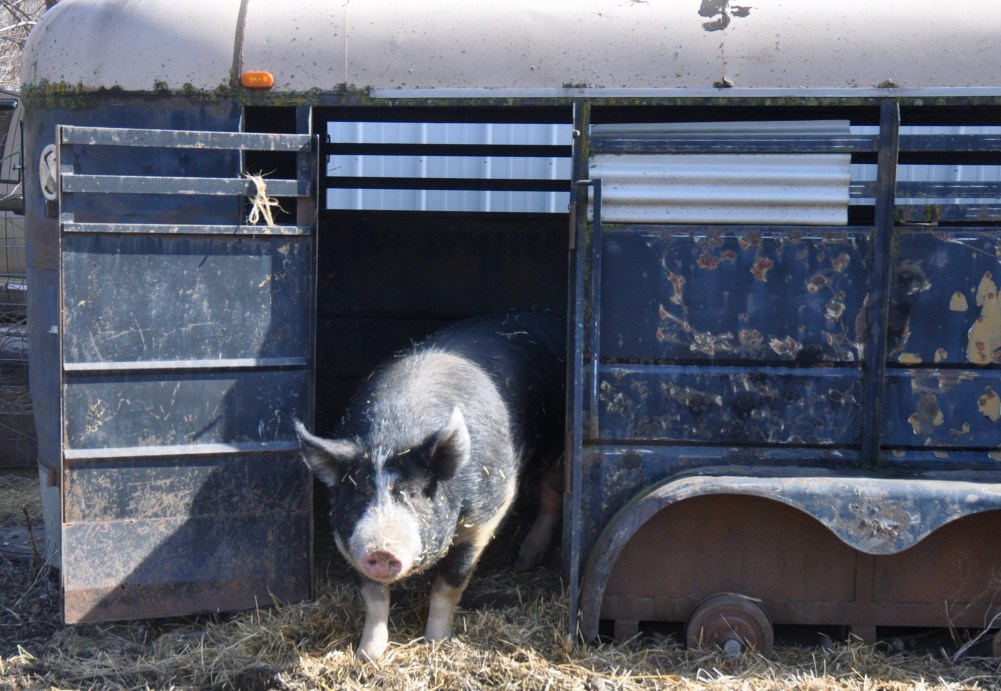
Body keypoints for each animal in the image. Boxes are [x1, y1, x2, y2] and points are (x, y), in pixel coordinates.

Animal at [295, 312, 564, 660]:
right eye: (361, 493)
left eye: (413, 494)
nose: (382, 549)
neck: (395, 435)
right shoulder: (350, 541)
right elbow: (374, 597)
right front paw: (367, 656)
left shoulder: (486, 516)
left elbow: (448, 584)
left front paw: (436, 642)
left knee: (553, 495)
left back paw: (523, 563)